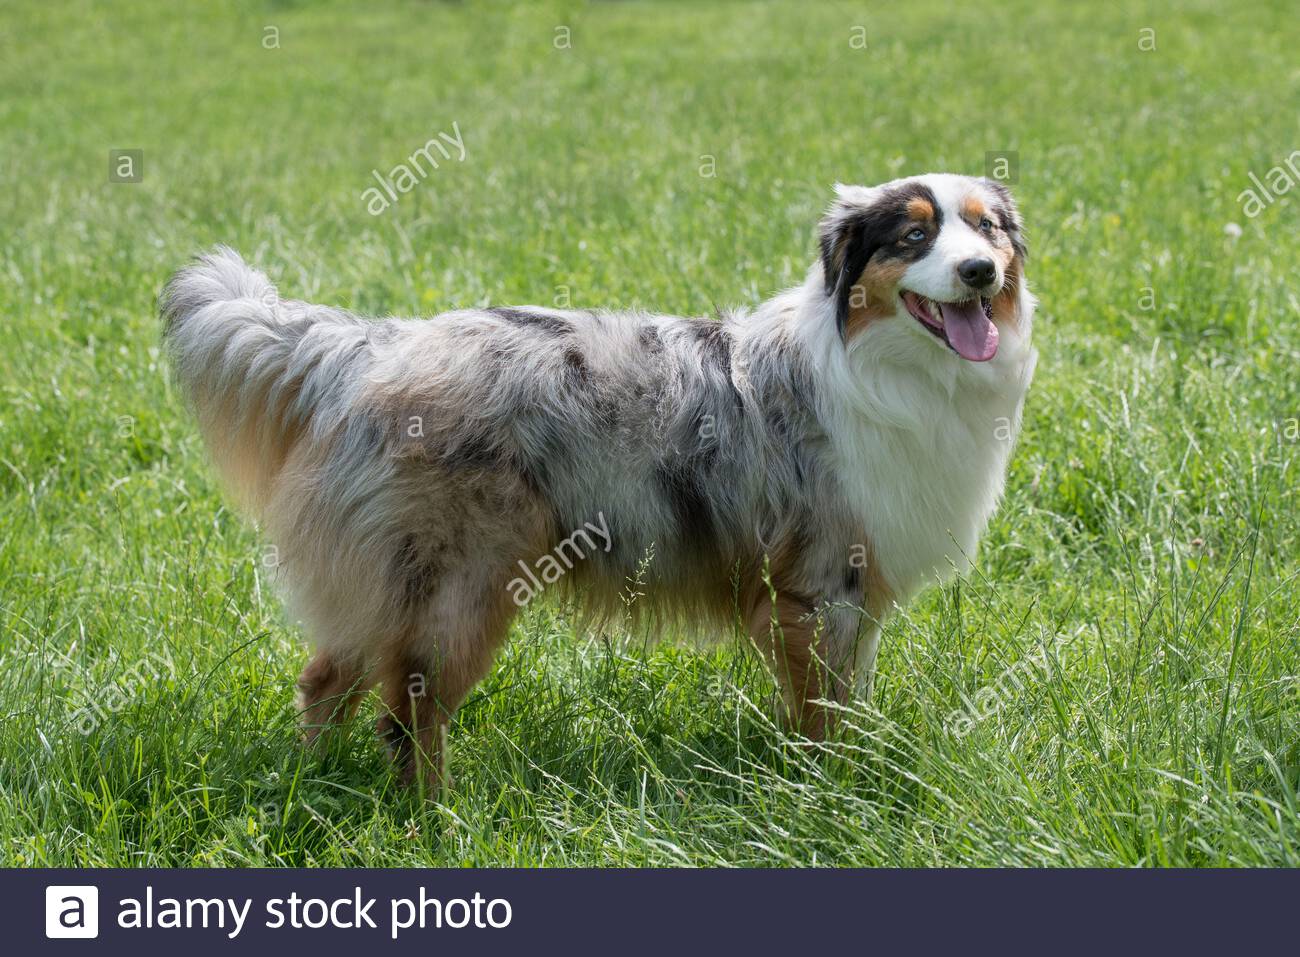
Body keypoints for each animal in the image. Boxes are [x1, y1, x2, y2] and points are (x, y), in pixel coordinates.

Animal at [159, 174, 1034, 790]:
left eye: (988, 227)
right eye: (914, 235)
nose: (979, 271)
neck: (888, 367)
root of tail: (374, 346)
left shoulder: (856, 591)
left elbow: (849, 698)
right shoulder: (818, 586)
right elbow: (823, 715)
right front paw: (833, 793)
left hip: (387, 583)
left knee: (325, 679)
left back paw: (311, 785)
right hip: (461, 588)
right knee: (408, 713)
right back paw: (435, 817)